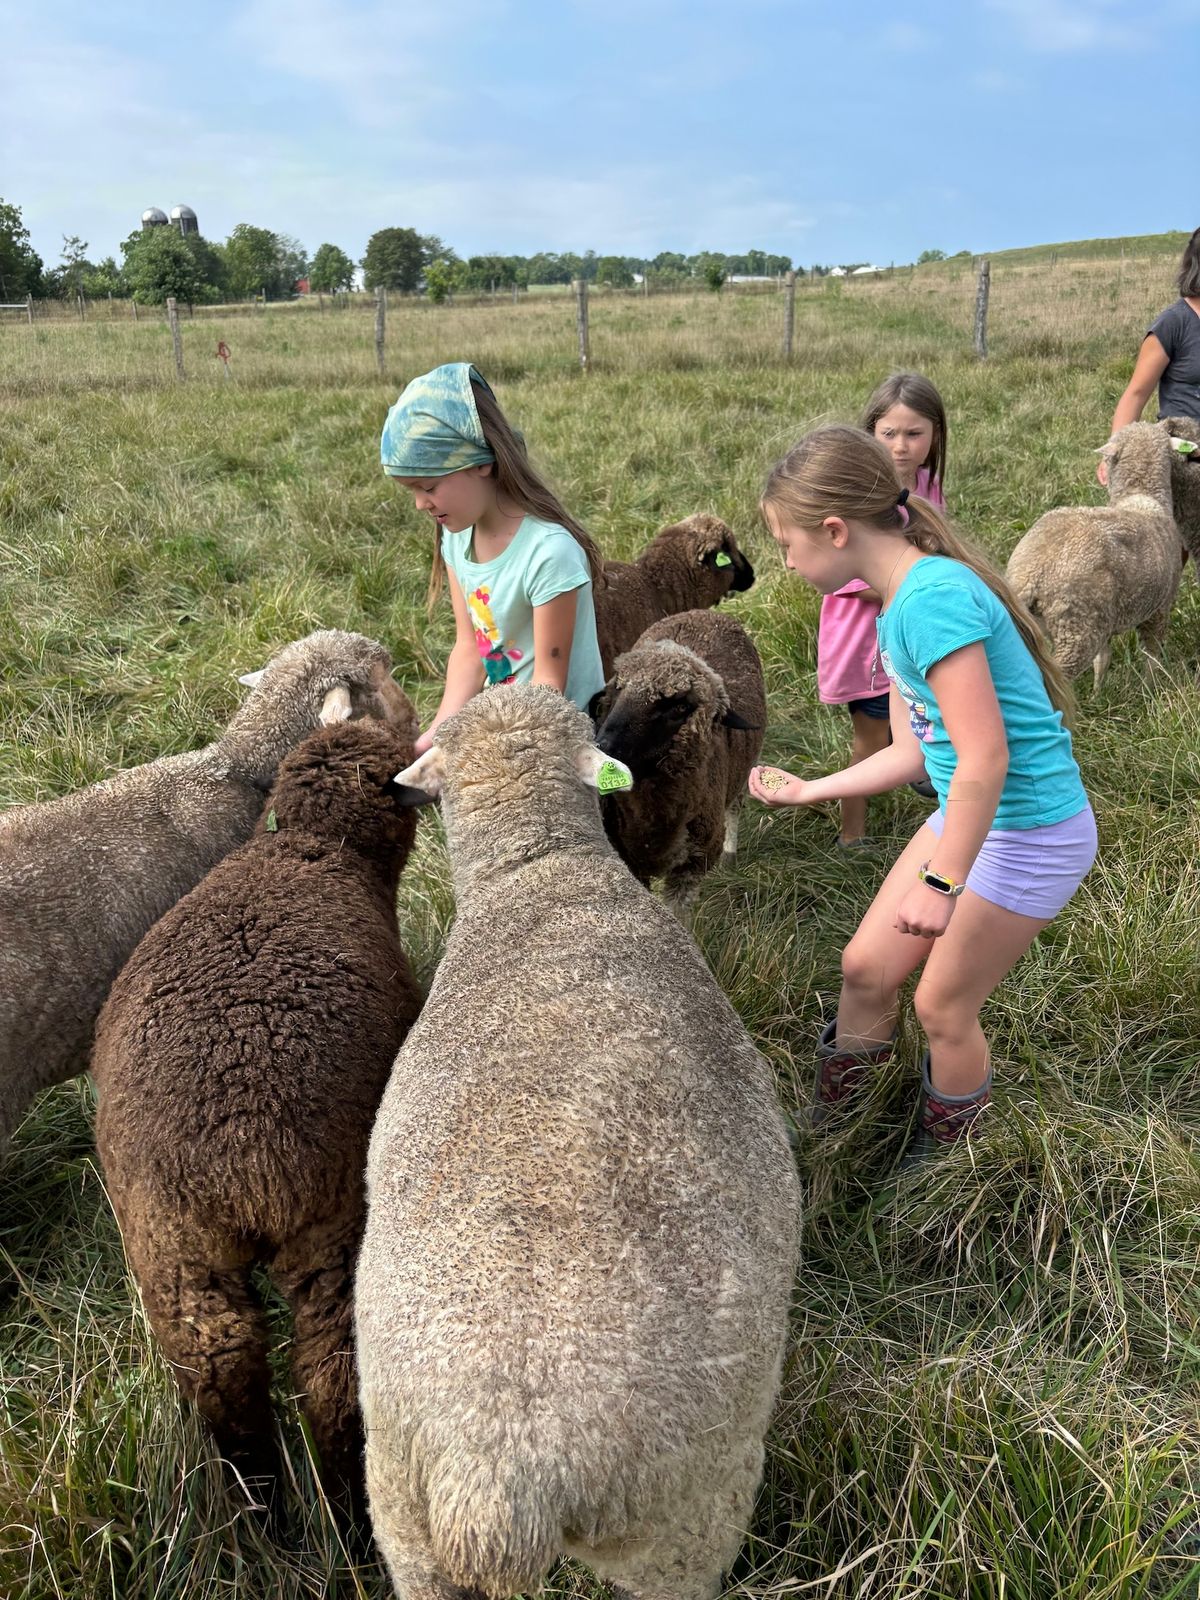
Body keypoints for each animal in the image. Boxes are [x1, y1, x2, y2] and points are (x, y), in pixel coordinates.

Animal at [94, 720, 425, 1516]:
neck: (311, 846)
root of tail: (242, 1162)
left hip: (171, 1249)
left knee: (220, 1369)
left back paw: (261, 1501)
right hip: (334, 1225)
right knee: (335, 1378)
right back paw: (345, 1509)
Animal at [1011, 419, 1196, 688]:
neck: (1142, 496)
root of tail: (1031, 574)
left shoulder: (1106, 620)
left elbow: (1103, 658)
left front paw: (1099, 690)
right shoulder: (1160, 607)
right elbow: (1152, 654)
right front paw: (1150, 688)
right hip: (1077, 628)